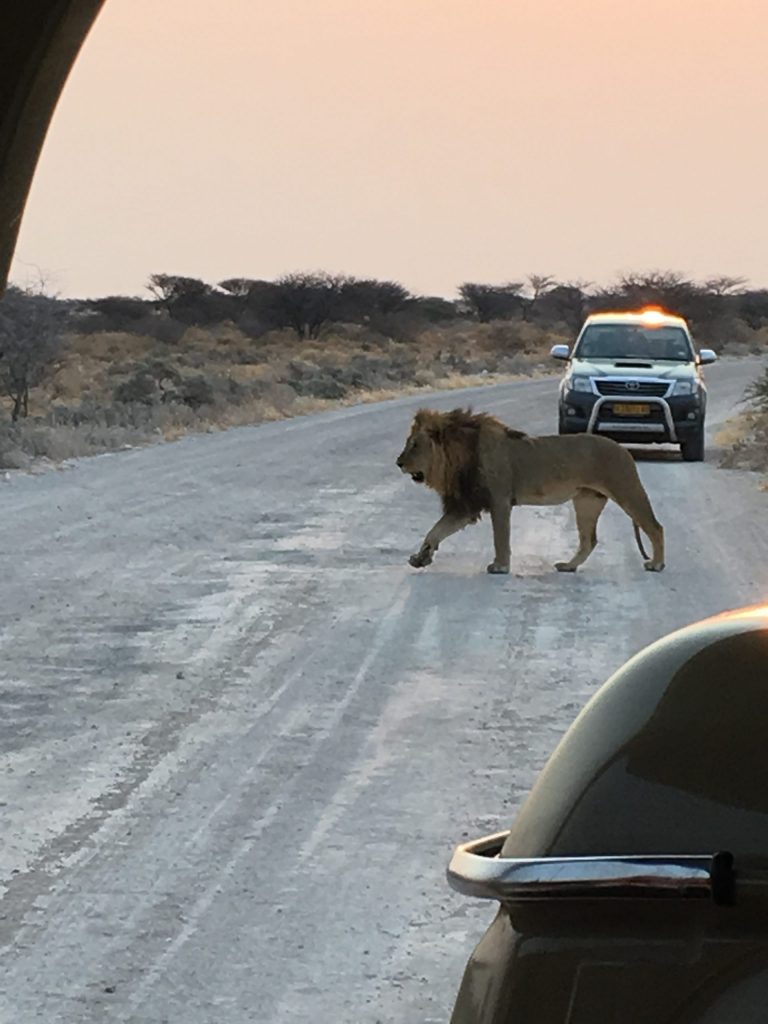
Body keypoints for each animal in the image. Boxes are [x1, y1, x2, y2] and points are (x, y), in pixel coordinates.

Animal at [397, 407, 667, 577]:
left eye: (414, 445)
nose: (398, 463)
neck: (458, 457)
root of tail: (623, 448)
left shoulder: (499, 500)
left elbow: (500, 537)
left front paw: (500, 567)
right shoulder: (467, 504)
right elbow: (436, 530)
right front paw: (420, 558)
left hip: (626, 488)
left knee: (655, 527)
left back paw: (657, 564)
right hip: (587, 501)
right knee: (588, 540)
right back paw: (568, 566)